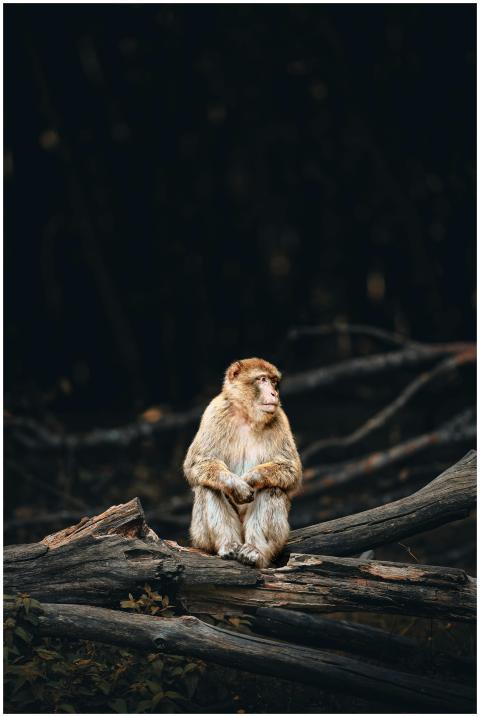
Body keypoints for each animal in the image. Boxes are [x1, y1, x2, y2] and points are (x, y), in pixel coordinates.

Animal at [183, 357, 302, 568]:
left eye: (273, 382)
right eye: (262, 379)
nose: (274, 393)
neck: (247, 416)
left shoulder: (280, 418)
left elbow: (291, 469)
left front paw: (252, 478)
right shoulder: (214, 411)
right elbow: (197, 463)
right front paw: (235, 484)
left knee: (272, 488)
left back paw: (254, 550)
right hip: (199, 536)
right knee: (208, 487)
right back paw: (228, 545)